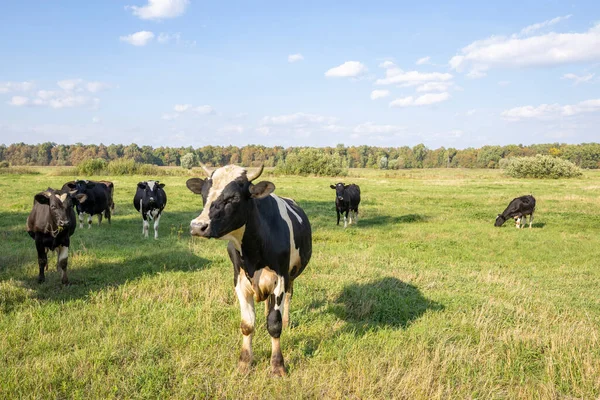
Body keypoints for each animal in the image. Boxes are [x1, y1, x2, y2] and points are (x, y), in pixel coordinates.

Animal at [185, 163, 312, 376]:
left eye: (234, 198)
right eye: (203, 194)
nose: (197, 226)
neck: (253, 253)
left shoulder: (280, 278)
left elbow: (274, 324)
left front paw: (277, 366)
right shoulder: (240, 281)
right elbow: (247, 324)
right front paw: (244, 363)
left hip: (292, 275)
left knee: (288, 298)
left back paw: (286, 321)